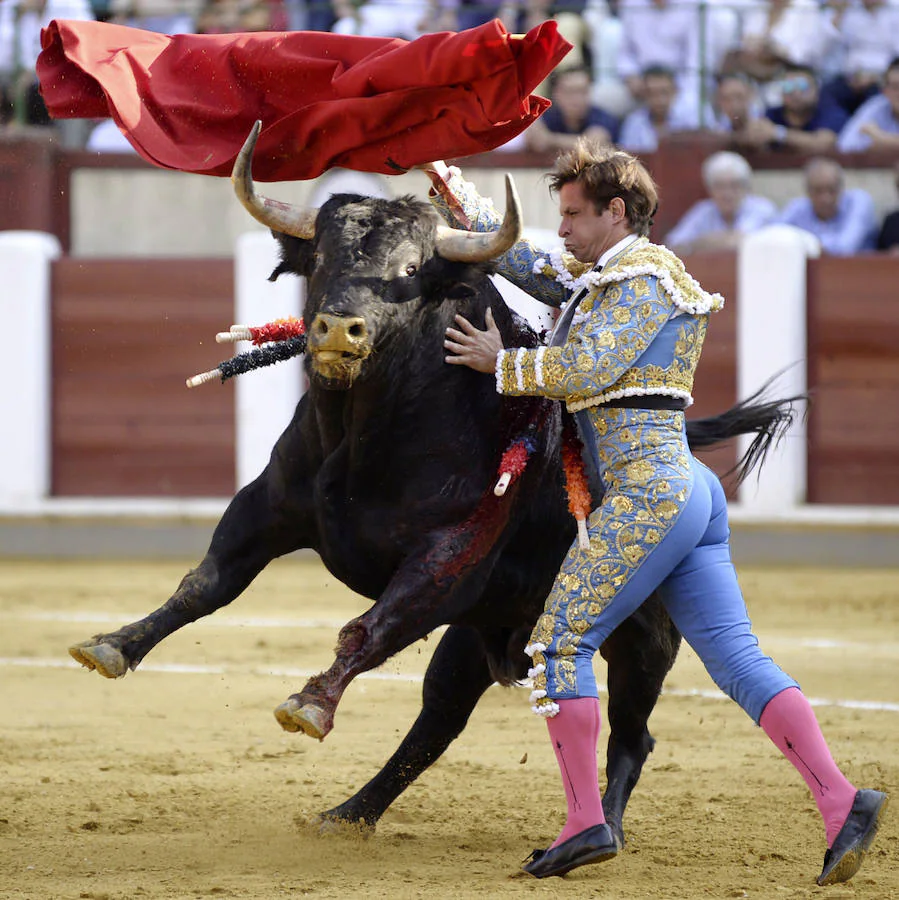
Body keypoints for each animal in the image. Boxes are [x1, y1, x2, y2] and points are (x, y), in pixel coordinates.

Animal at [70, 123, 800, 848]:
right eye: (322, 261)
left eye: (410, 272)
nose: (337, 329)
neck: (368, 435)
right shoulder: (269, 506)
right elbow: (206, 582)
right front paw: (113, 645)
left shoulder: (447, 559)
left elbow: (365, 629)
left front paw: (309, 703)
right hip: (478, 636)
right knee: (438, 718)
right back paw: (351, 813)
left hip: (644, 634)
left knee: (630, 731)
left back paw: (601, 834)